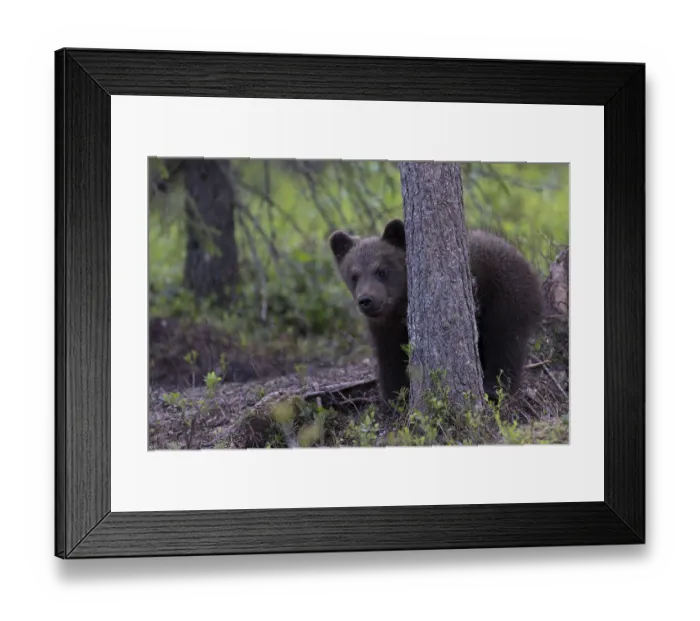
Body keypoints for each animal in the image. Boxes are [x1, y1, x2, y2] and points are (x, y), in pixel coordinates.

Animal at [329, 218, 543, 405]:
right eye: (354, 275)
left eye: (381, 271)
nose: (366, 300)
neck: (399, 305)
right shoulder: (385, 327)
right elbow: (390, 357)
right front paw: (395, 396)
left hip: (505, 296)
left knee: (505, 342)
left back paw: (495, 388)